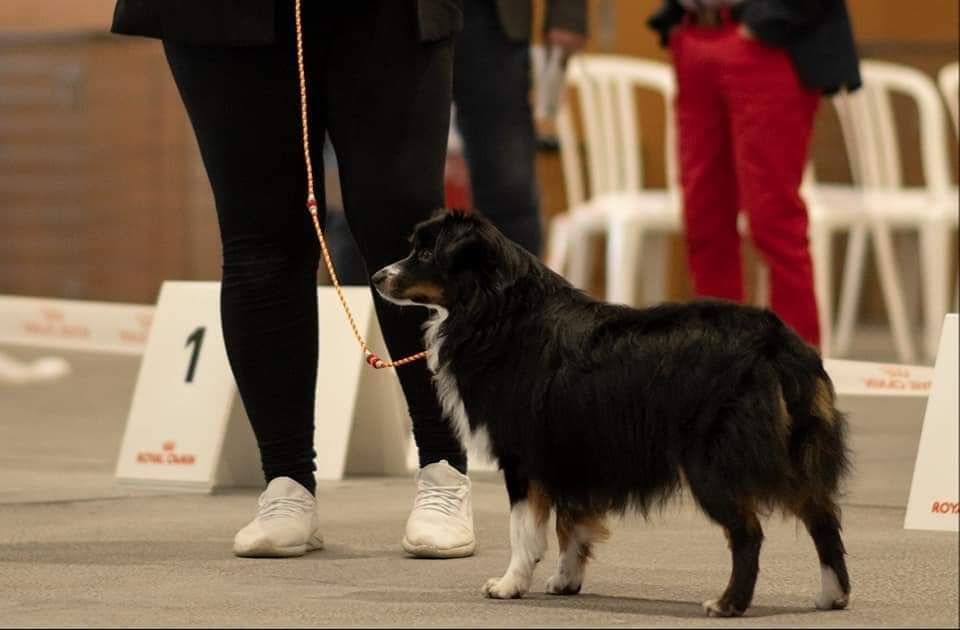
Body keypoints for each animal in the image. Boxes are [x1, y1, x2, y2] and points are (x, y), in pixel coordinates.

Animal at [372, 211, 852, 616]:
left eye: (426, 254)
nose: (376, 277)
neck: (497, 309)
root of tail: (775, 345)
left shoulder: (523, 456)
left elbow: (524, 531)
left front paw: (509, 584)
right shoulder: (571, 451)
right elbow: (572, 524)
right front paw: (565, 580)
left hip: (711, 462)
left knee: (749, 532)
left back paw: (729, 603)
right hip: (791, 451)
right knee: (822, 513)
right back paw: (833, 595)